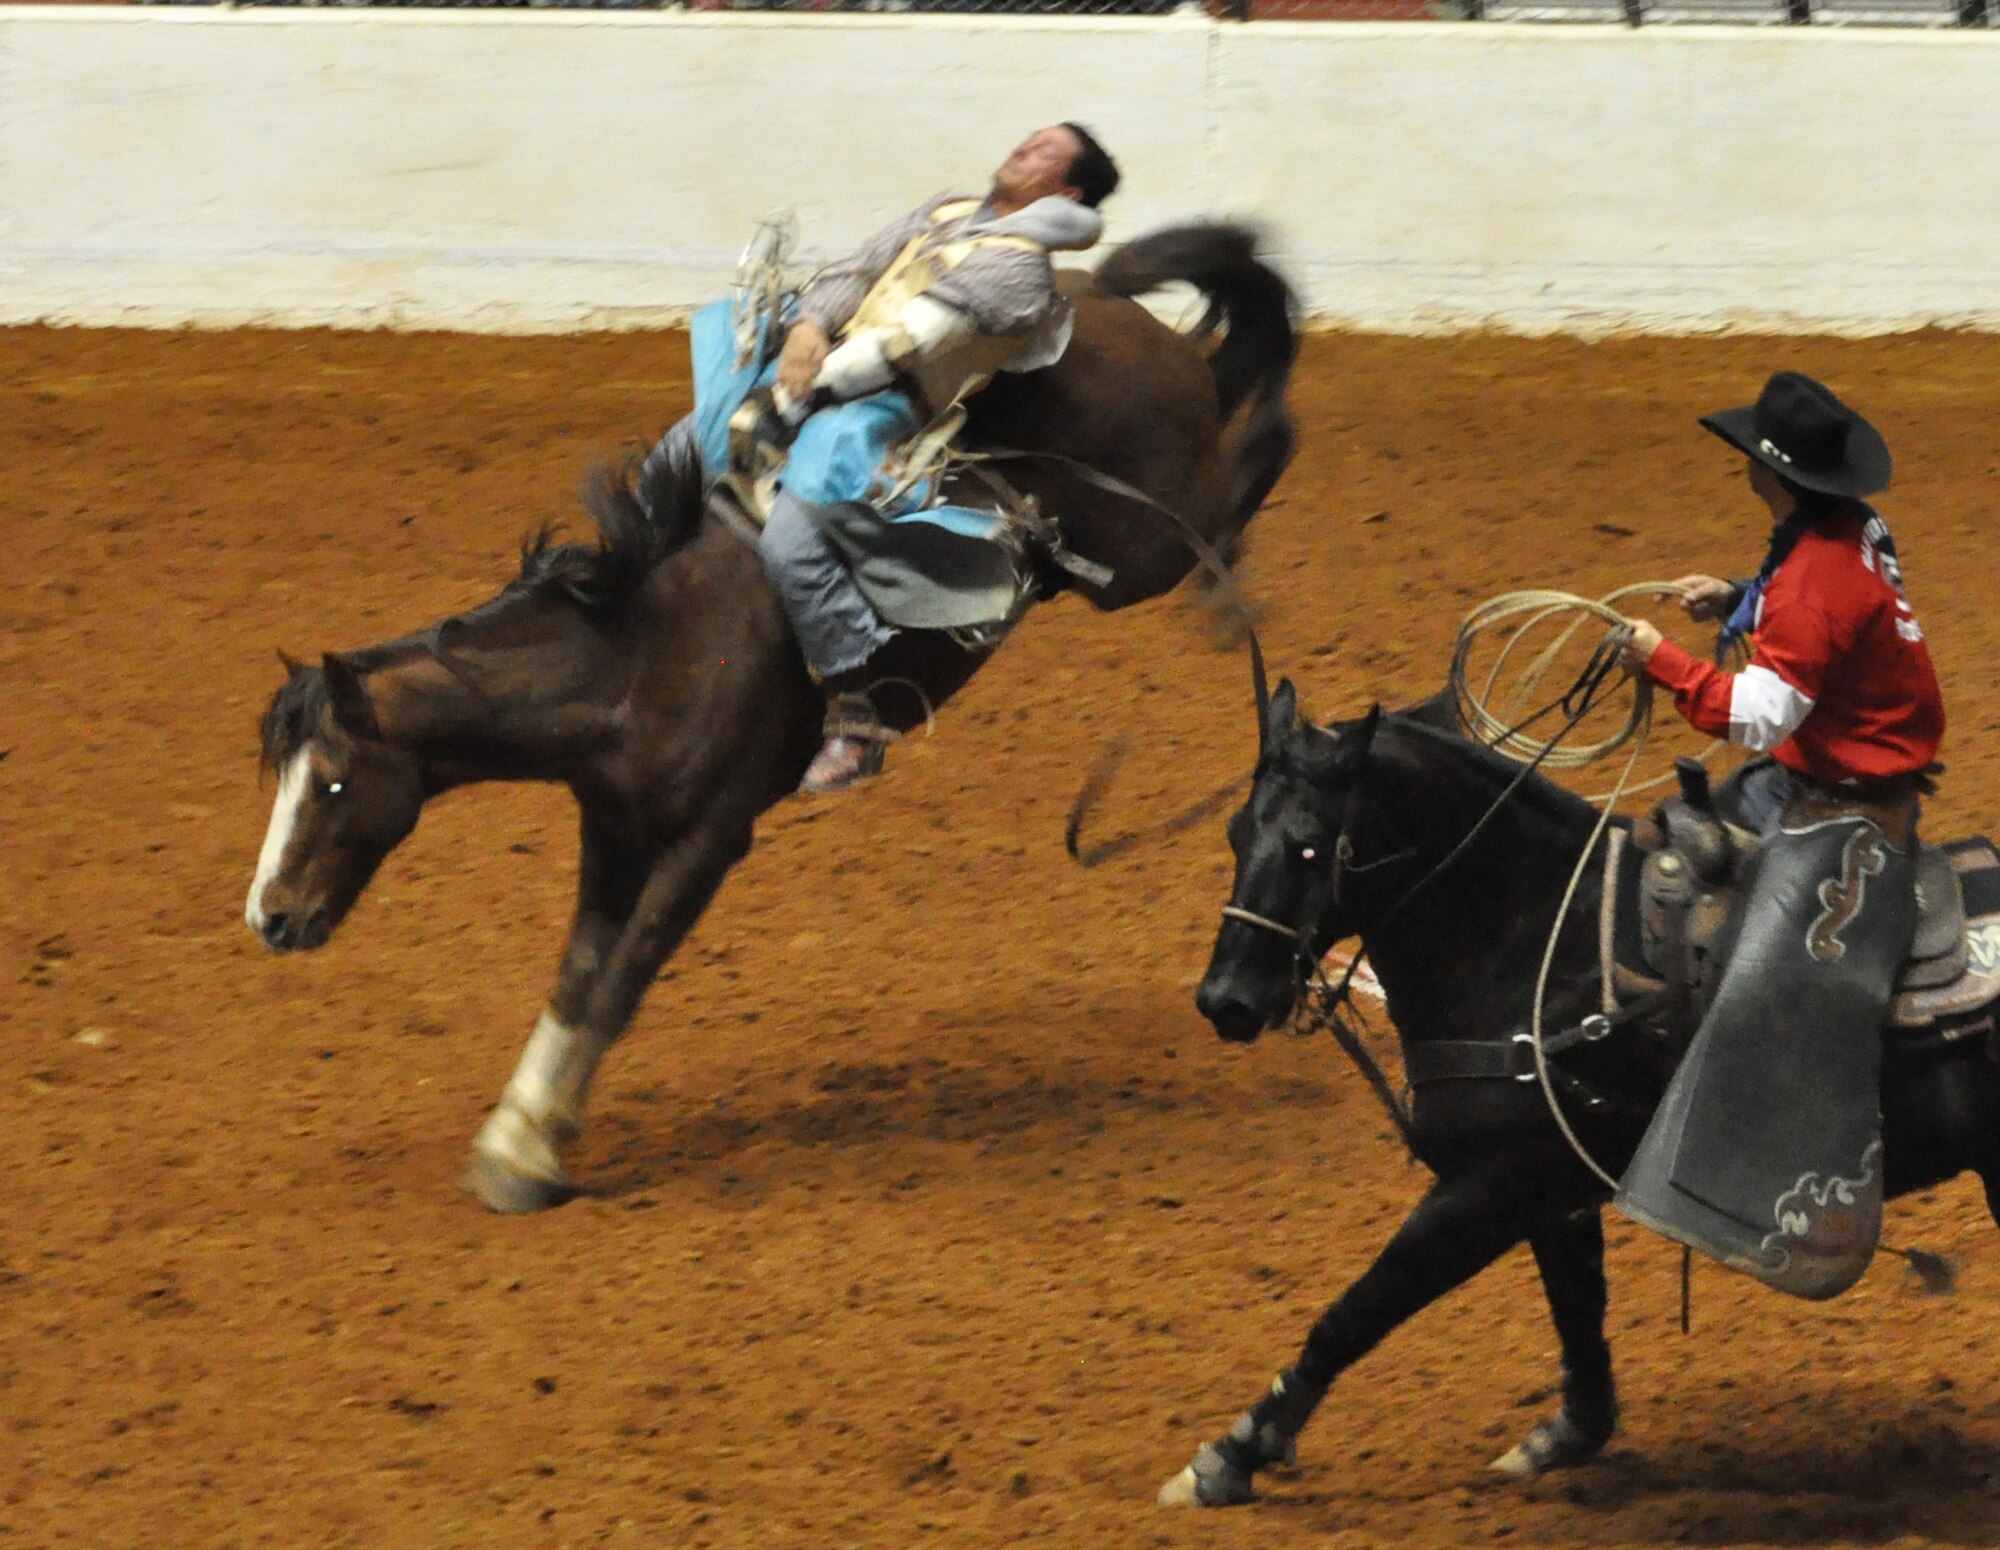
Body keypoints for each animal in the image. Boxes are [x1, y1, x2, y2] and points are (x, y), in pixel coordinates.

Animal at [242, 221, 1296, 1216]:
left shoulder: (712, 839)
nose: (271, 917)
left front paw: (529, 1153)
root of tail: (1112, 311)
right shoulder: (613, 832)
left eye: (332, 782)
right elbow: (579, 976)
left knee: (1253, 461)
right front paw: (516, 1136)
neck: (641, 655)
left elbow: (623, 979)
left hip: (1149, 541)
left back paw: (1225, 598)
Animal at [1160, 680, 2000, 1504]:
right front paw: (1567, 1434)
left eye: (1309, 847)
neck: (1534, 940)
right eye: (1235, 832)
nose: (1226, 1000)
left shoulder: (1489, 1184)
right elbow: (1577, 1309)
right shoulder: (1548, 1188)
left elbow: (1361, 1309)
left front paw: (1229, 1456)